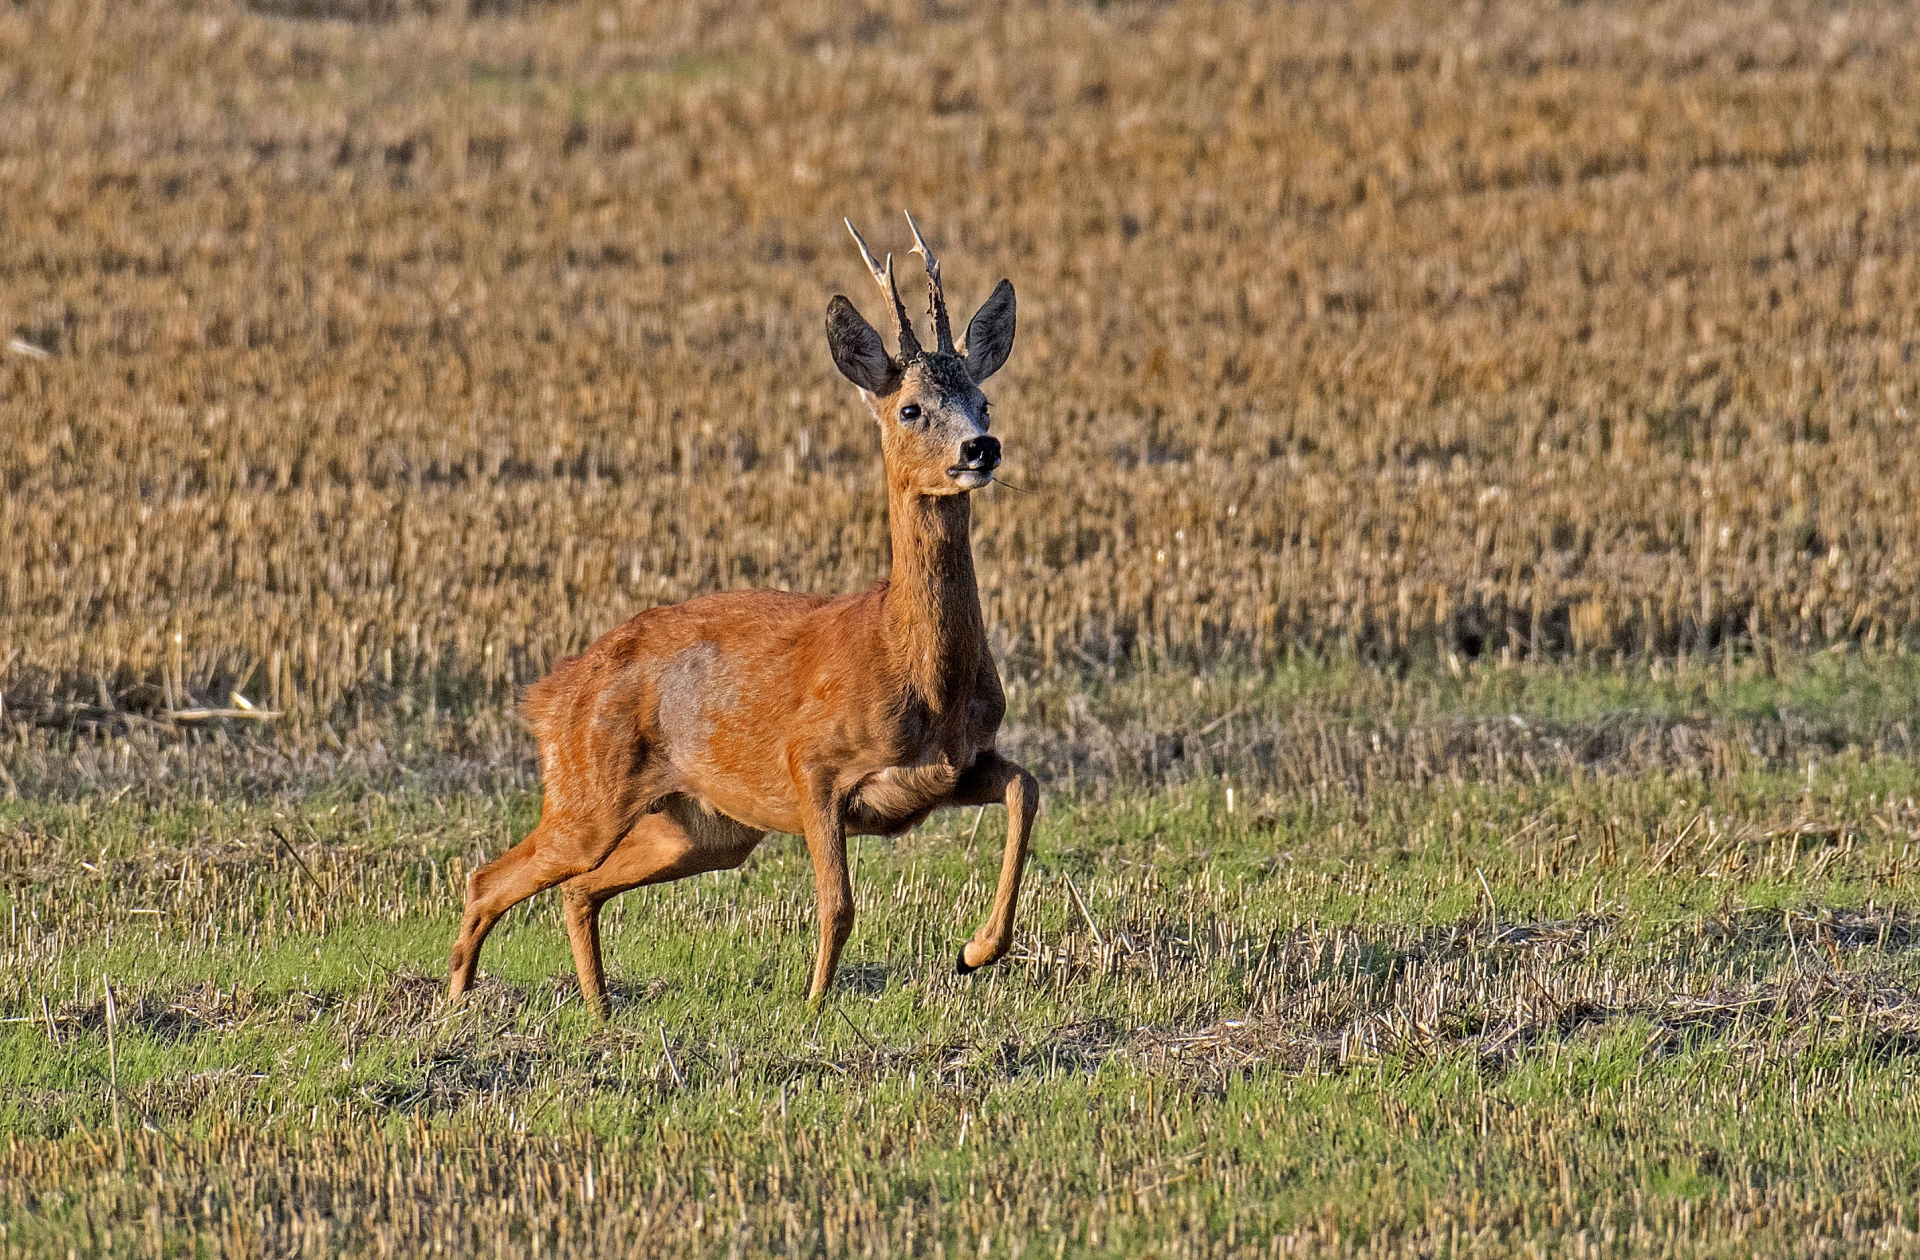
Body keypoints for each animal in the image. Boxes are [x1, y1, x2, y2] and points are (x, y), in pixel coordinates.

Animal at [445, 214, 1036, 1014]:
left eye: (985, 400)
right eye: (911, 408)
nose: (981, 447)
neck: (913, 666)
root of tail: (549, 692)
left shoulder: (956, 764)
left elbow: (1024, 789)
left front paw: (977, 950)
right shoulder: (812, 764)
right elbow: (838, 901)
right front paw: (815, 1003)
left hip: (701, 828)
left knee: (578, 889)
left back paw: (597, 1008)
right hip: (586, 792)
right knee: (492, 877)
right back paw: (456, 1003)